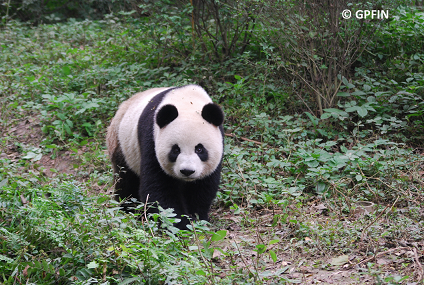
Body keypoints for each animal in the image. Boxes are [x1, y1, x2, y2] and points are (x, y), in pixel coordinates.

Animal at [105, 84, 224, 229]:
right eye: (176, 150)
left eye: (200, 149)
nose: (187, 171)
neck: (188, 102)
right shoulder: (152, 139)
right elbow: (157, 187)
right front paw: (181, 223)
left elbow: (203, 188)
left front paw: (197, 218)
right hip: (123, 145)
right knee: (126, 181)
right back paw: (129, 209)